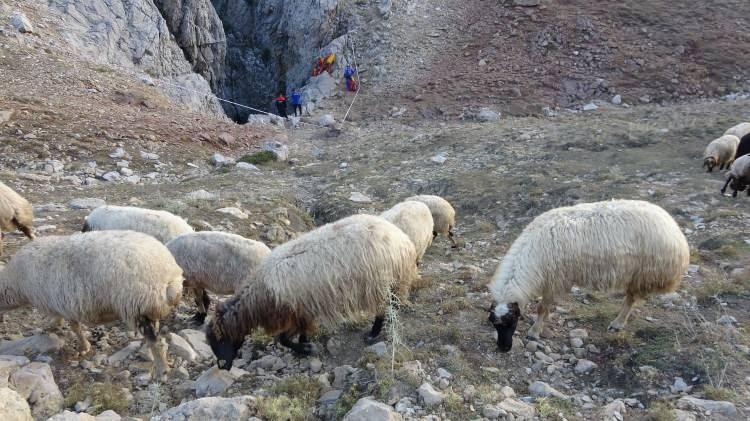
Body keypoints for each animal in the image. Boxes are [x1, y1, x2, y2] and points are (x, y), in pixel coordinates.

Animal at [0, 230, 184, 378]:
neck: (14, 285)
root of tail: (170, 274)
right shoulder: (60, 303)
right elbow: (63, 321)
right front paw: (54, 326)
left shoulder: (64, 305)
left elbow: (75, 328)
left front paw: (83, 347)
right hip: (151, 307)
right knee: (160, 337)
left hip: (138, 306)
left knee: (157, 342)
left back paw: (162, 370)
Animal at [207, 215, 418, 370]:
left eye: (221, 339)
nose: (222, 366)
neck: (262, 293)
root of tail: (402, 238)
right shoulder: (303, 310)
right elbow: (297, 335)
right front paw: (304, 345)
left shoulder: (294, 311)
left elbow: (283, 340)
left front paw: (307, 349)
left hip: (381, 282)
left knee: (387, 306)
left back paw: (374, 333)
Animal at [490, 200, 692, 352]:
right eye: (495, 325)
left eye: (511, 322)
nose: (503, 348)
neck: (531, 251)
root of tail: (672, 226)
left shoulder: (555, 279)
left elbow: (542, 308)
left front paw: (534, 332)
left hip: (643, 273)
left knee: (631, 299)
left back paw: (617, 323)